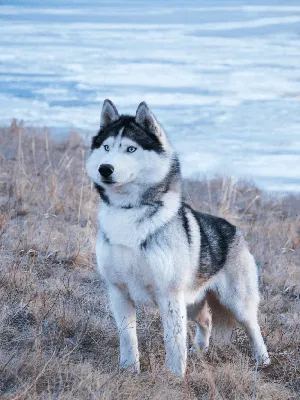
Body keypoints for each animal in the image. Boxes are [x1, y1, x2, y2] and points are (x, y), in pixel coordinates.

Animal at [85, 99, 270, 376]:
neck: (129, 212)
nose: (105, 168)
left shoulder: (169, 295)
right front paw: (129, 370)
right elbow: (128, 336)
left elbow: (173, 340)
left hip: (236, 303)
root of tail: (235, 230)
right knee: (207, 320)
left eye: (130, 149)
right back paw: (199, 350)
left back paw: (263, 360)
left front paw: (174, 376)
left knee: (253, 328)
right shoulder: (118, 291)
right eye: (106, 147)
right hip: (192, 302)